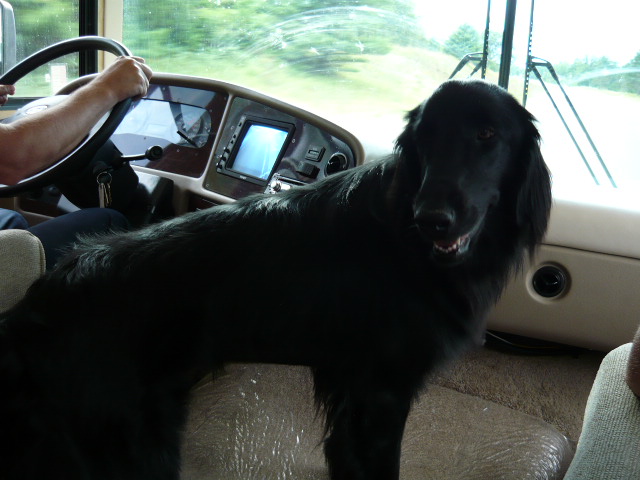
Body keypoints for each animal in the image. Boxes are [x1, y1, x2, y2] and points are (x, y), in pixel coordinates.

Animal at [0, 80, 551, 480]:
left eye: (487, 136)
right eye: (425, 138)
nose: (433, 219)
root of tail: (31, 311)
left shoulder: (352, 391)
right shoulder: (383, 393)